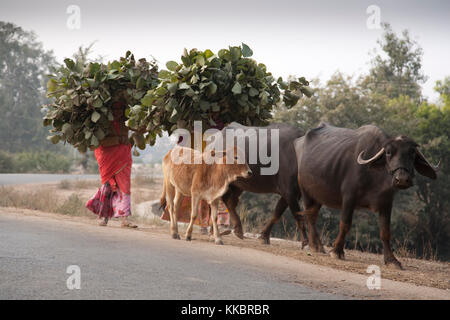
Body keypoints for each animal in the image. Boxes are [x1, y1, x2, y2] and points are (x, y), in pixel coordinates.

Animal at [294, 122, 438, 268]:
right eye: (388, 152)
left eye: (412, 153)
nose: (402, 179)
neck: (375, 179)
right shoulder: (349, 198)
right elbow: (345, 224)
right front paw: (337, 251)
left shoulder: (386, 203)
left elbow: (385, 232)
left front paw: (392, 260)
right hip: (306, 191)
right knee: (311, 216)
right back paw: (315, 246)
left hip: (318, 195)